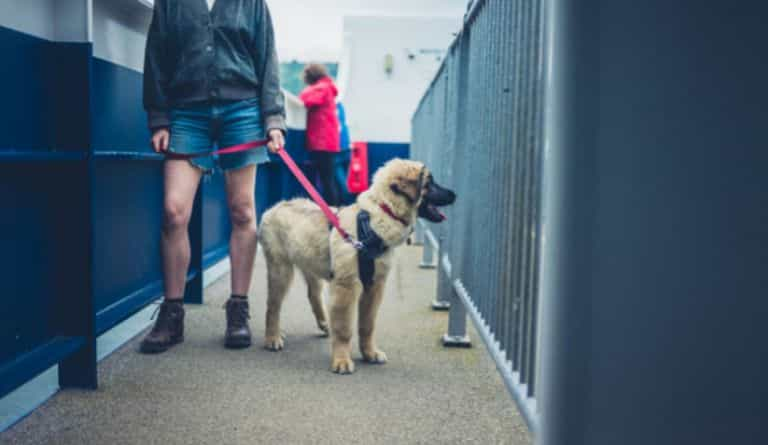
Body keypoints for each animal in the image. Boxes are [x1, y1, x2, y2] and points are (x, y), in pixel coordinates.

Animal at [258, 158, 452, 372]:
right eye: (429, 183)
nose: (454, 195)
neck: (380, 215)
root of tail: (274, 207)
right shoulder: (347, 285)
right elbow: (344, 328)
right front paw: (342, 361)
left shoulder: (374, 286)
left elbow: (367, 324)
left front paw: (370, 353)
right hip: (280, 269)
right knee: (272, 305)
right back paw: (272, 337)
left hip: (311, 263)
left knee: (313, 294)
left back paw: (324, 324)